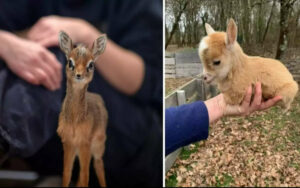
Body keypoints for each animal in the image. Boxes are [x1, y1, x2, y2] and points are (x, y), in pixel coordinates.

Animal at [57, 30, 108, 187]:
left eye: (91, 65)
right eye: (70, 62)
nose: (79, 75)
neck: (75, 120)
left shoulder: (85, 142)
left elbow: (85, 175)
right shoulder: (68, 143)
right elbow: (67, 173)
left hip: (98, 144)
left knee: (97, 164)